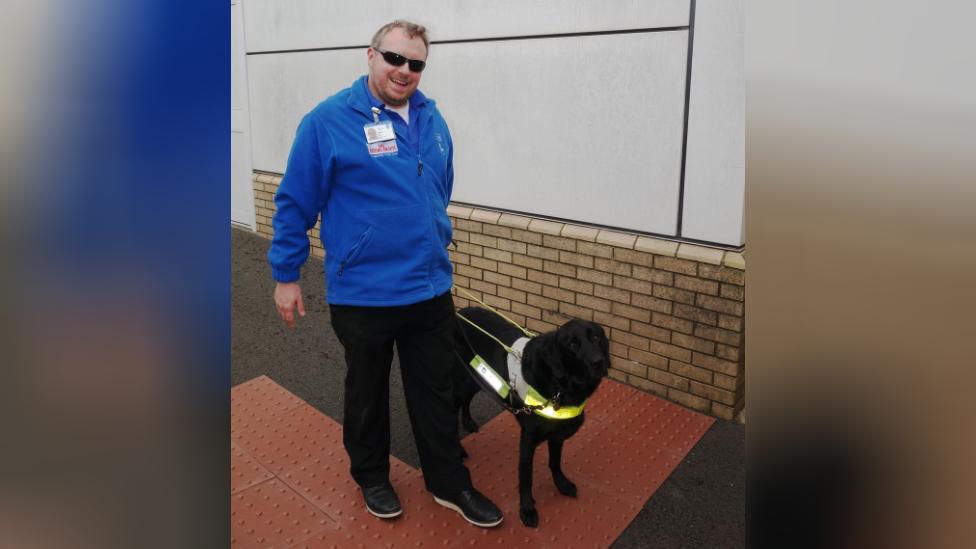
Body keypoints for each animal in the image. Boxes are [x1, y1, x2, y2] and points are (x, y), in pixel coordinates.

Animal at [452, 306, 608, 524]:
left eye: (595, 337)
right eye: (572, 344)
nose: (598, 362)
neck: (559, 386)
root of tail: (459, 311)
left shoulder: (557, 434)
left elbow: (555, 461)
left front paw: (561, 484)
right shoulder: (527, 440)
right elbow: (526, 478)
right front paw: (526, 509)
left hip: (478, 376)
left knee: (466, 398)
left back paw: (468, 422)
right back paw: (458, 447)